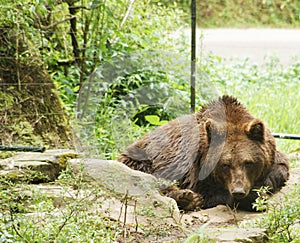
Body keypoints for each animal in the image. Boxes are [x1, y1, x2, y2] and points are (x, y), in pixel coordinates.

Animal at [118, 96, 290, 212]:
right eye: (226, 164)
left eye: (248, 162)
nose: (238, 191)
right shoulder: (195, 168)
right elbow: (210, 192)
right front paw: (251, 198)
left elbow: (280, 167)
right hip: (142, 159)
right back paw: (187, 197)